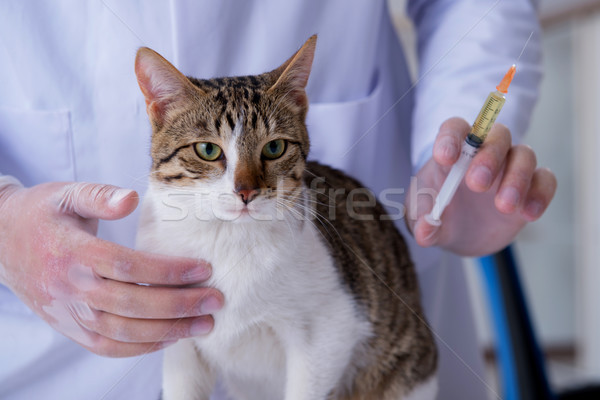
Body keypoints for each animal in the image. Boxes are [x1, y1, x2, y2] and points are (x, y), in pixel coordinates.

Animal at [135, 35, 436, 400]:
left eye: (274, 148)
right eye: (208, 150)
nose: (246, 191)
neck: (229, 239)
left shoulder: (331, 330)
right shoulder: (182, 338)